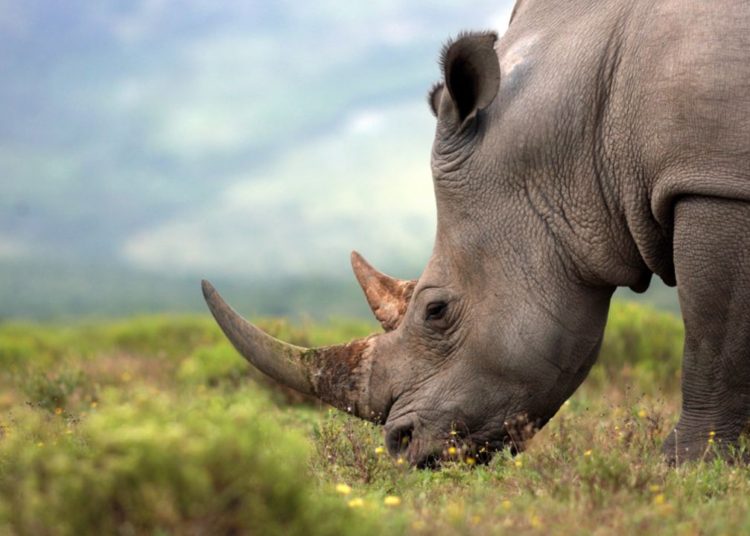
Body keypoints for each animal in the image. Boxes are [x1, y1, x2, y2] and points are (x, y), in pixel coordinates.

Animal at [202, 0, 750, 466]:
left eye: (436, 311)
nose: (400, 446)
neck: (580, 134)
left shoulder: (712, 182)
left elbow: (712, 337)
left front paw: (685, 466)